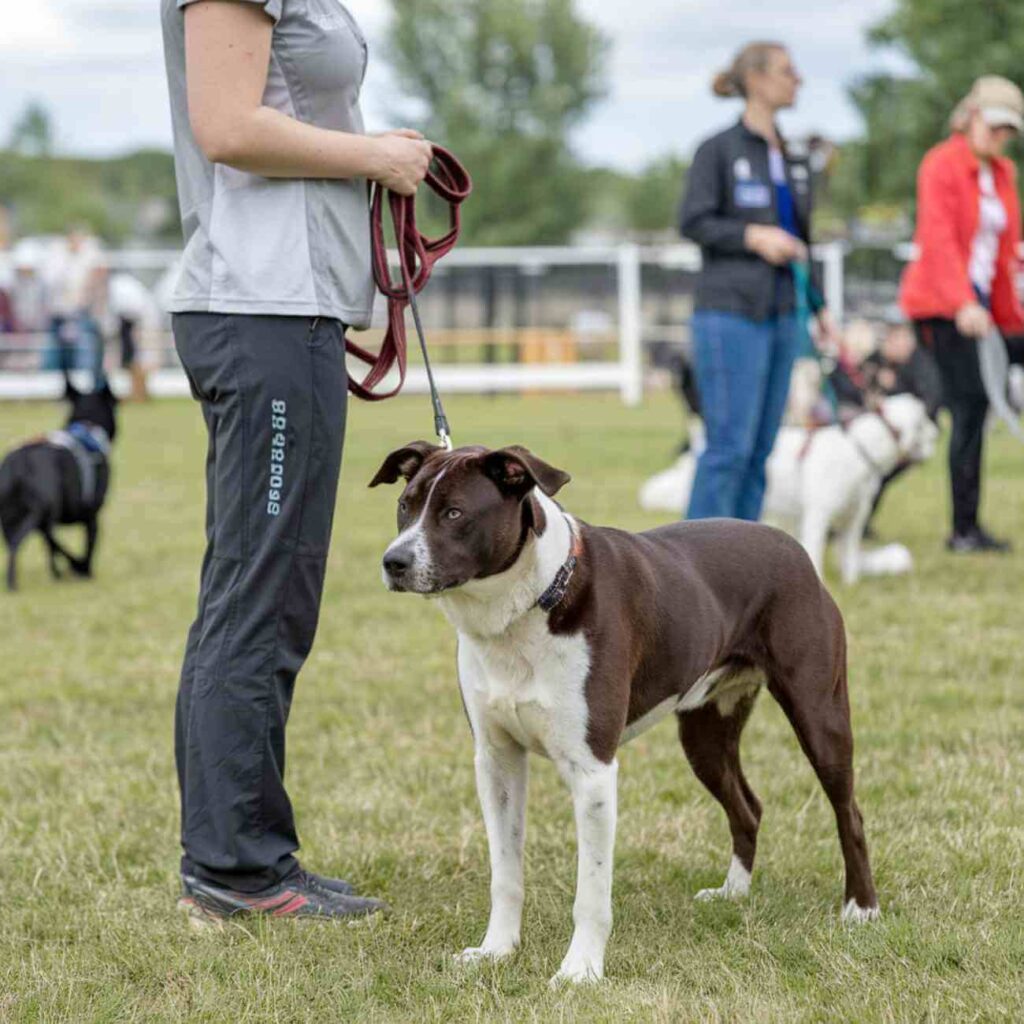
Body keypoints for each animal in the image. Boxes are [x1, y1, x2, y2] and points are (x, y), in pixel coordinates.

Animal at [0, 380, 117, 593]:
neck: (87, 426)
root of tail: (19, 463)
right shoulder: (92, 516)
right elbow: (90, 545)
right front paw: (85, 570)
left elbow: (51, 550)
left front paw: (59, 573)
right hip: (41, 511)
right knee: (30, 540)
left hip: (10, 518)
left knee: (36, 540)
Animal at [372, 444, 876, 987]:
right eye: (405, 505)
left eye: (454, 513)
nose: (394, 561)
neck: (529, 605)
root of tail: (792, 547)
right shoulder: (497, 761)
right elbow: (505, 873)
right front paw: (496, 951)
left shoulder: (592, 770)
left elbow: (591, 892)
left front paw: (580, 970)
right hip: (705, 734)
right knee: (748, 806)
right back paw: (733, 893)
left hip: (819, 715)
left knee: (848, 811)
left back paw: (861, 908)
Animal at [643, 393, 937, 585]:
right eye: (923, 421)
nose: (937, 429)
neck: (859, 450)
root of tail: (699, 443)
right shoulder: (818, 516)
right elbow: (816, 551)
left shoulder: (853, 520)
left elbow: (850, 556)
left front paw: (851, 582)